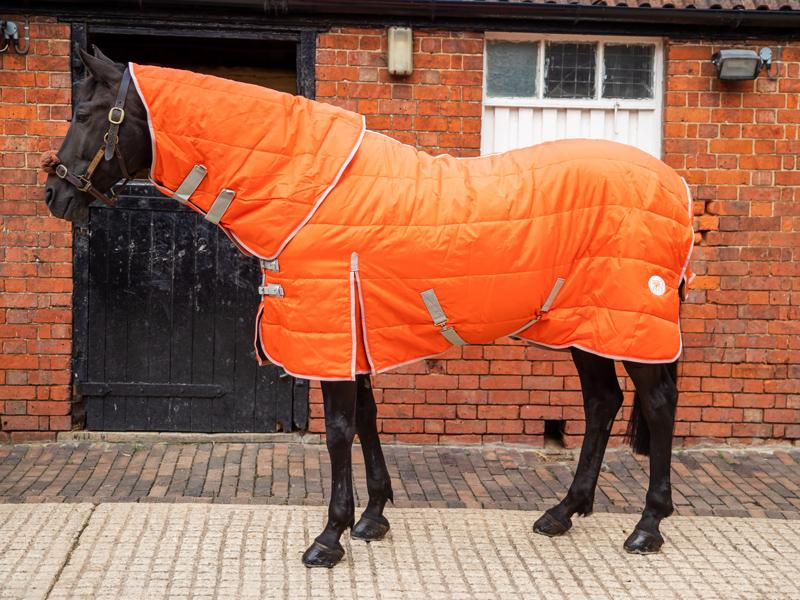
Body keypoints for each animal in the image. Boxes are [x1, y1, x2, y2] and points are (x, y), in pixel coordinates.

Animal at [44, 47, 689, 569]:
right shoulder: (356, 332)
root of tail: (675, 186)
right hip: (590, 325)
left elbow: (337, 431)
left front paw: (329, 538)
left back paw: (648, 527)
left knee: (657, 406)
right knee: (603, 403)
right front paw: (373, 517)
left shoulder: (331, 328)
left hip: (630, 323)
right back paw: (563, 512)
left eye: (87, 114)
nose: (54, 194)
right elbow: (368, 420)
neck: (309, 190)